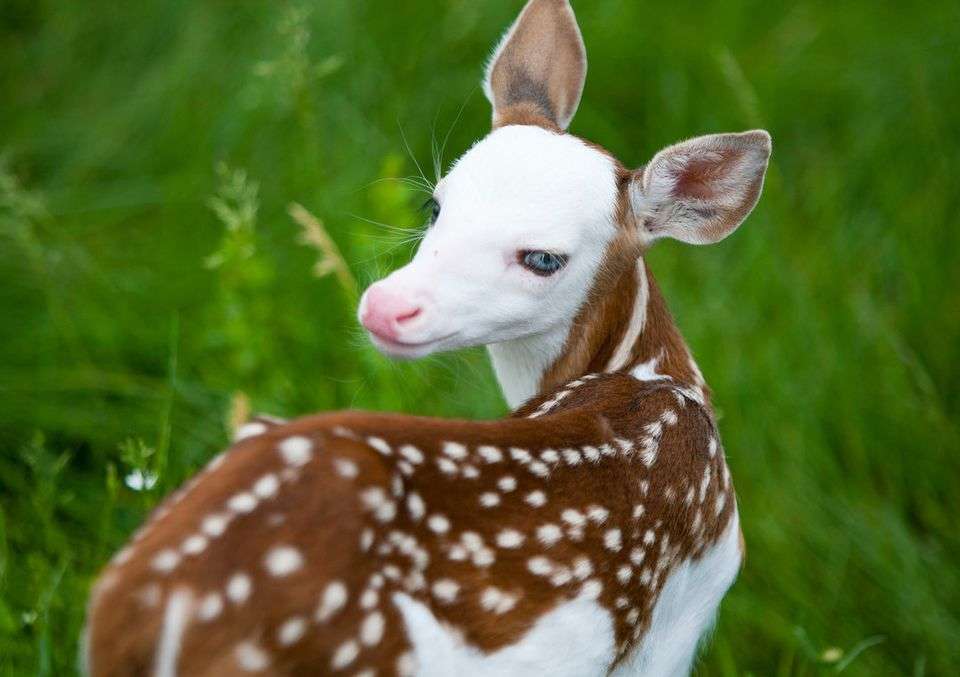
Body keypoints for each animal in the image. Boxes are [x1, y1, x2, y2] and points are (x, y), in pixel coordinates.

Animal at [84, 2, 772, 672]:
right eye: (434, 206)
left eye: (543, 258)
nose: (386, 307)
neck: (656, 378)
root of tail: (145, 612)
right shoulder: (674, 628)